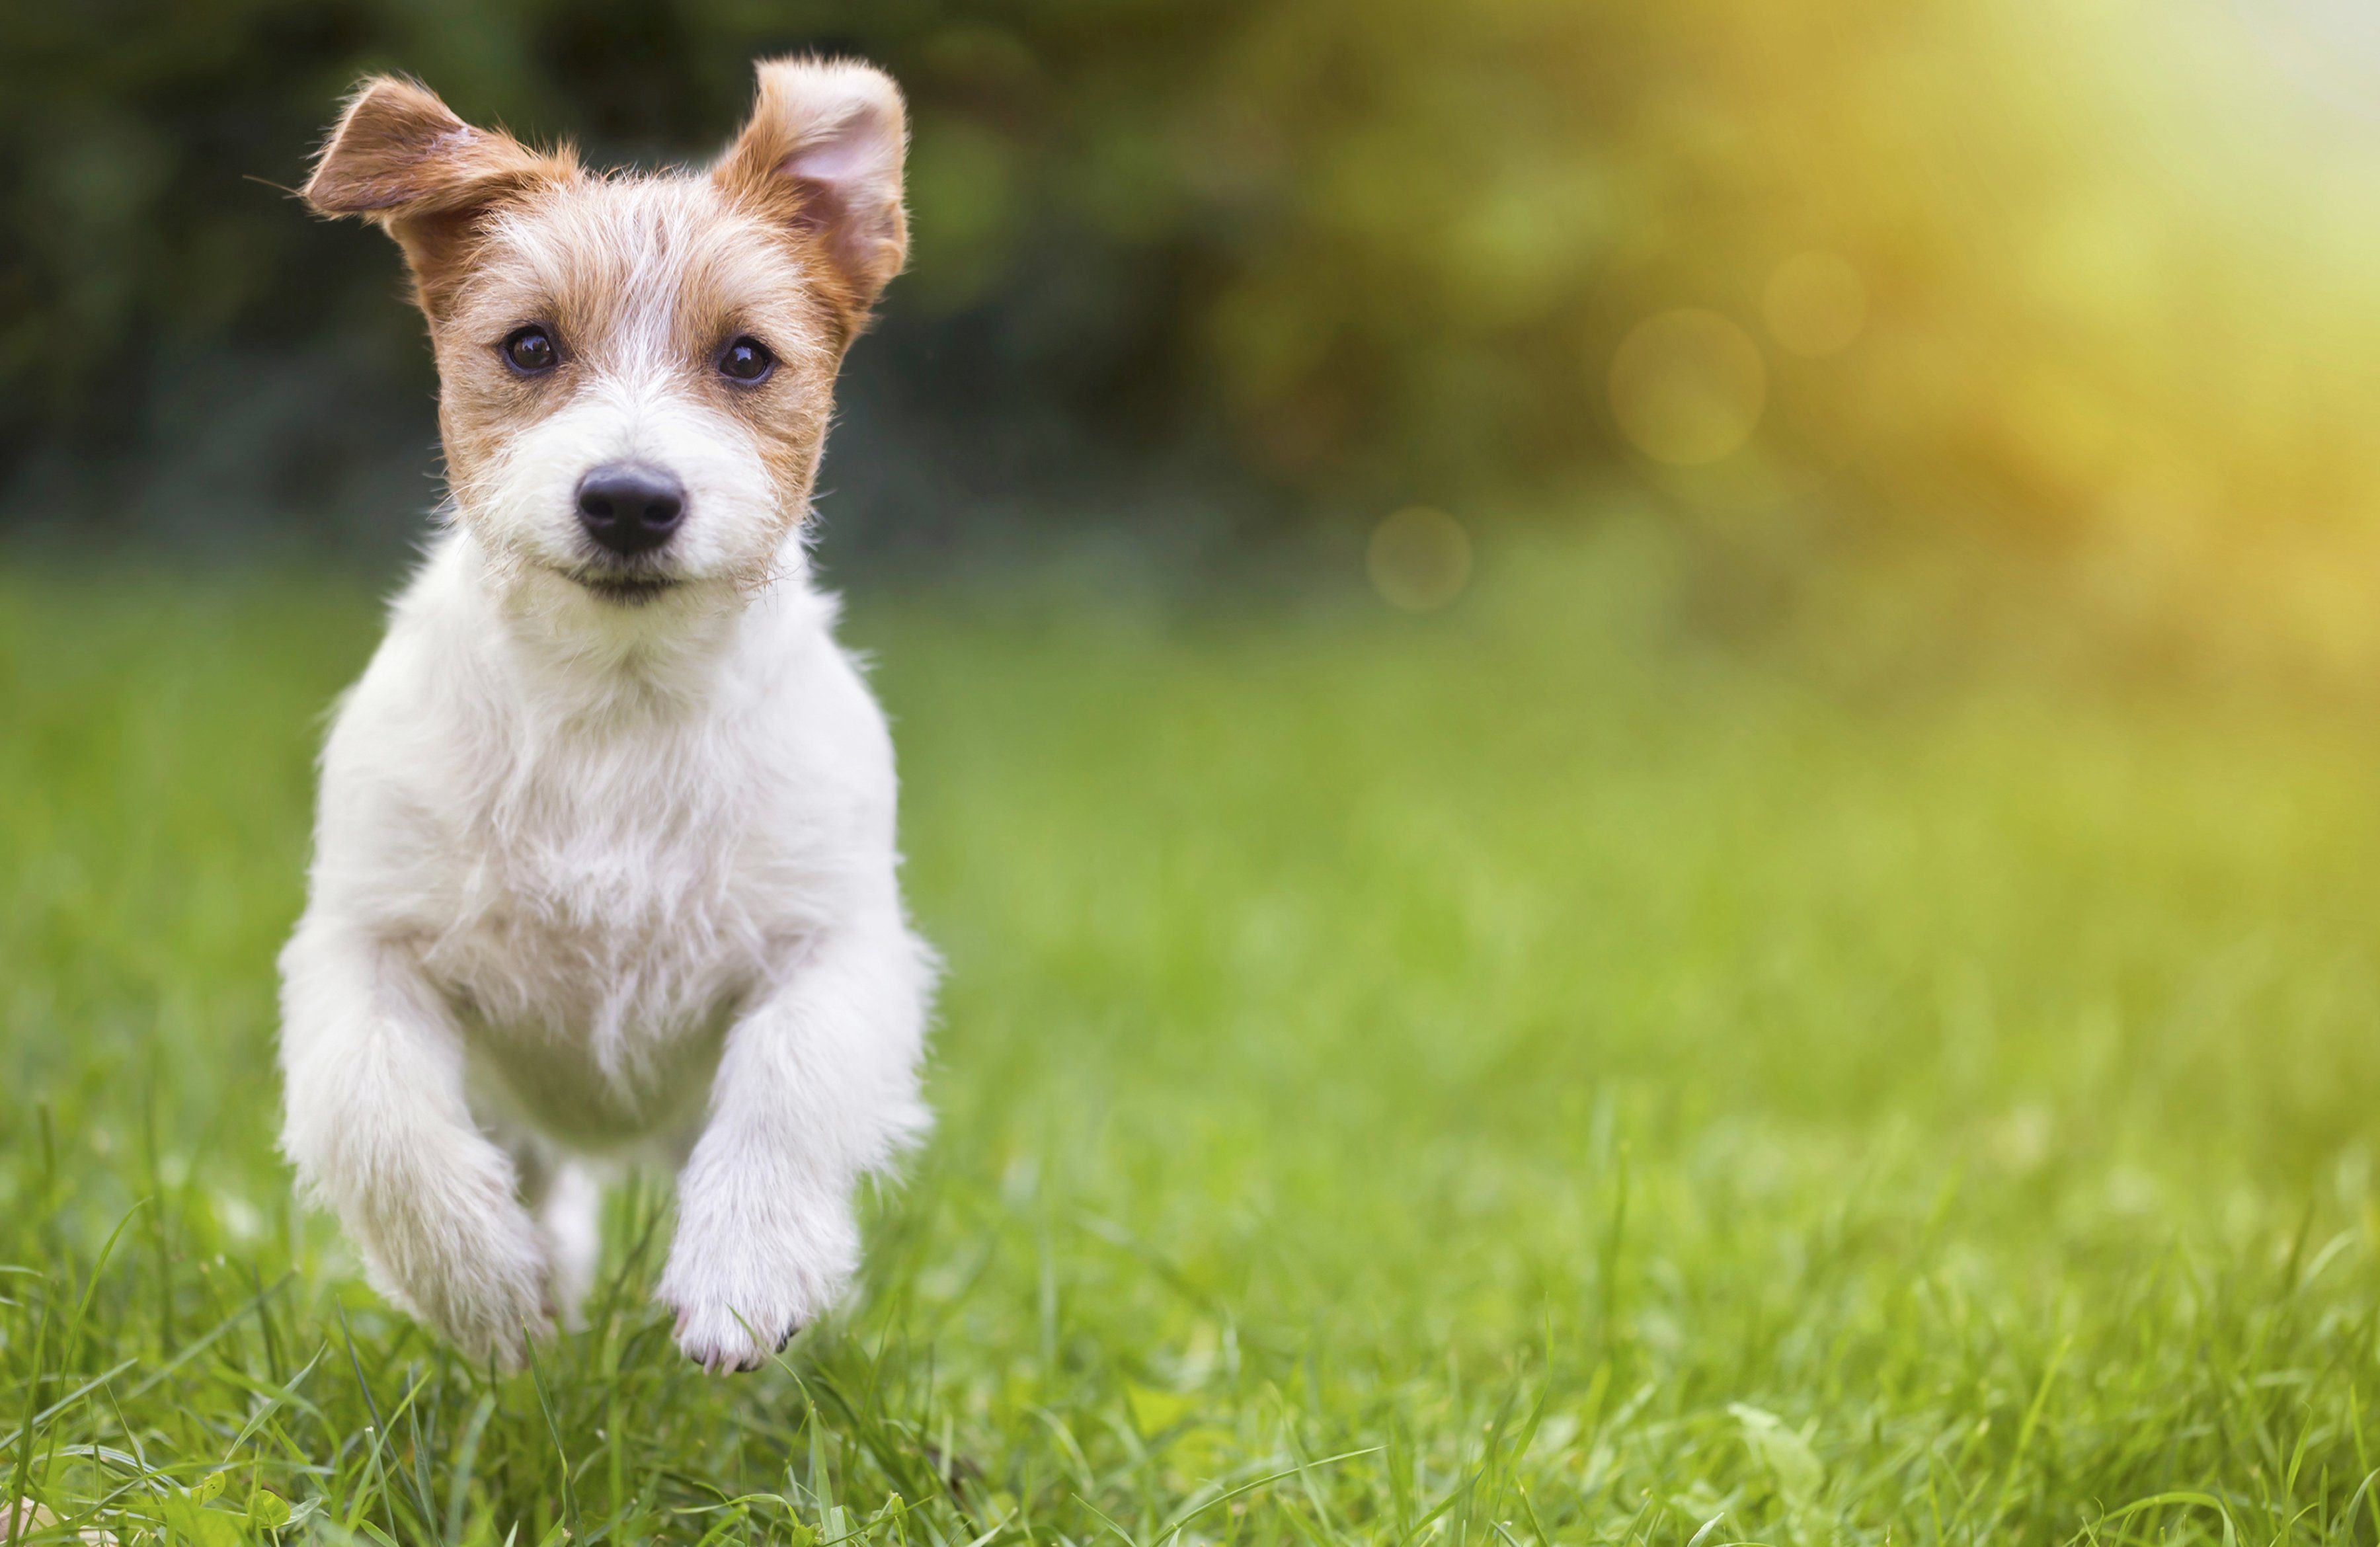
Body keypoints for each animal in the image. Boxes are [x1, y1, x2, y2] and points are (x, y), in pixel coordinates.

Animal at [280, 54, 937, 1370]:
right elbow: (384, 1123)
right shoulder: (363, 950)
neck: (614, 702)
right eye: (530, 346)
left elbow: (788, 1084)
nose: (630, 500)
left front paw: (745, 1272)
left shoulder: (832, 947)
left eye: (746, 359)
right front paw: (489, 1292)